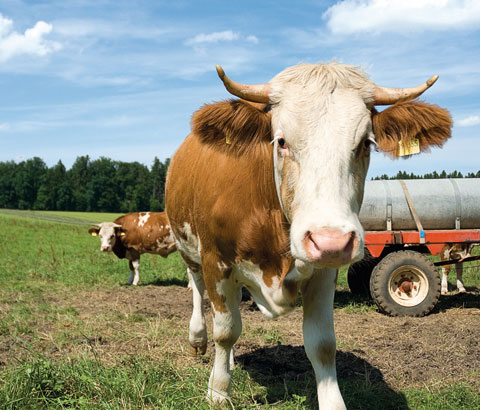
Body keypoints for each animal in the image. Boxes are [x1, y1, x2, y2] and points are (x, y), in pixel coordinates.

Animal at [166, 60, 454, 406]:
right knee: (199, 291)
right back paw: (199, 339)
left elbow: (322, 344)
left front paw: (333, 402)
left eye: (365, 143)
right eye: (281, 141)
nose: (331, 241)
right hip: (190, 250)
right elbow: (225, 330)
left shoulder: (323, 271)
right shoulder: (216, 260)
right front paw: (219, 391)